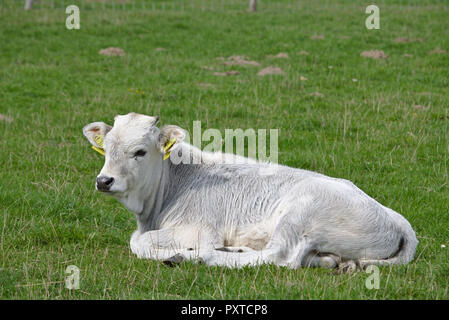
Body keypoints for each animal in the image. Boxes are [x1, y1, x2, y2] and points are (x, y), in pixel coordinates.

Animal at [83, 112, 416, 270]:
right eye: (106, 149)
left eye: (139, 152)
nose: (104, 181)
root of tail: (398, 221)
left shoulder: (198, 230)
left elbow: (138, 242)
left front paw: (180, 252)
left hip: (298, 216)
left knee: (279, 257)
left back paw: (199, 257)